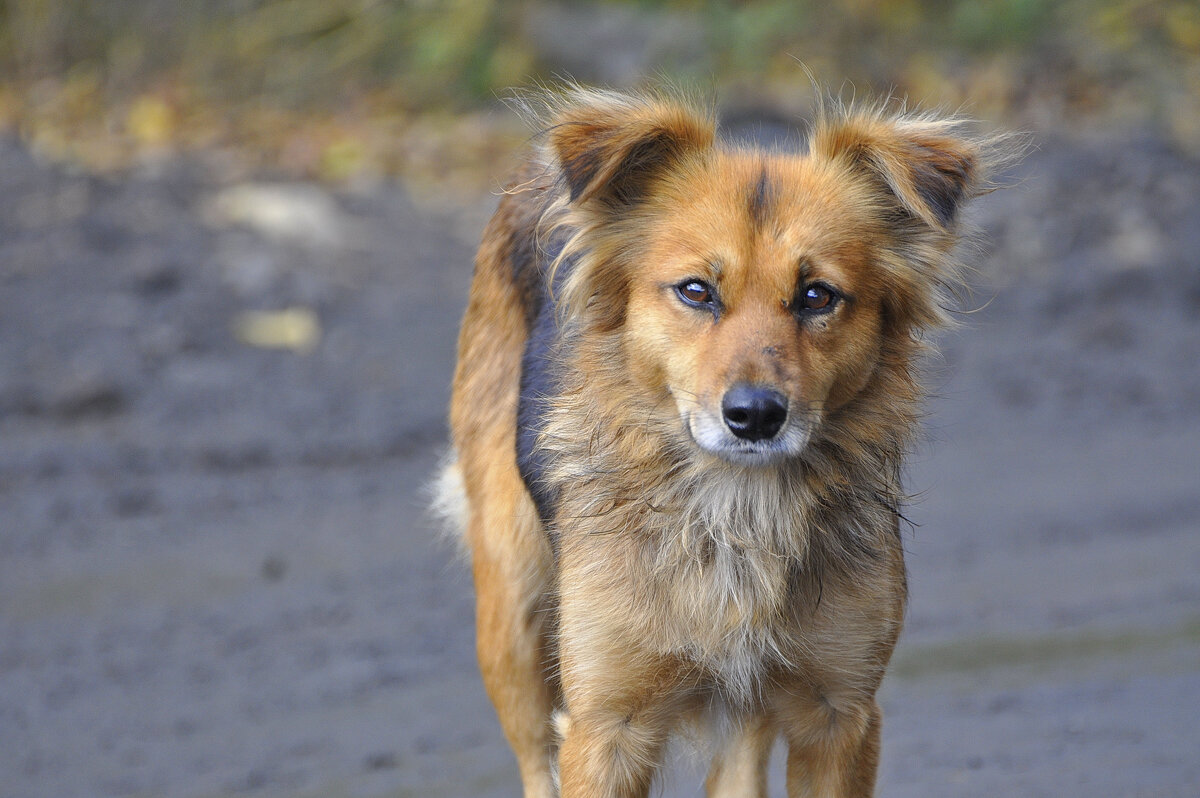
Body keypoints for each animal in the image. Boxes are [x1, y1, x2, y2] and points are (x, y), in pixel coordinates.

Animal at [436, 84, 1008, 792]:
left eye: (817, 296)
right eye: (696, 291)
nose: (756, 415)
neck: (736, 508)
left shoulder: (840, 713)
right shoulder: (605, 727)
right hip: (512, 616)